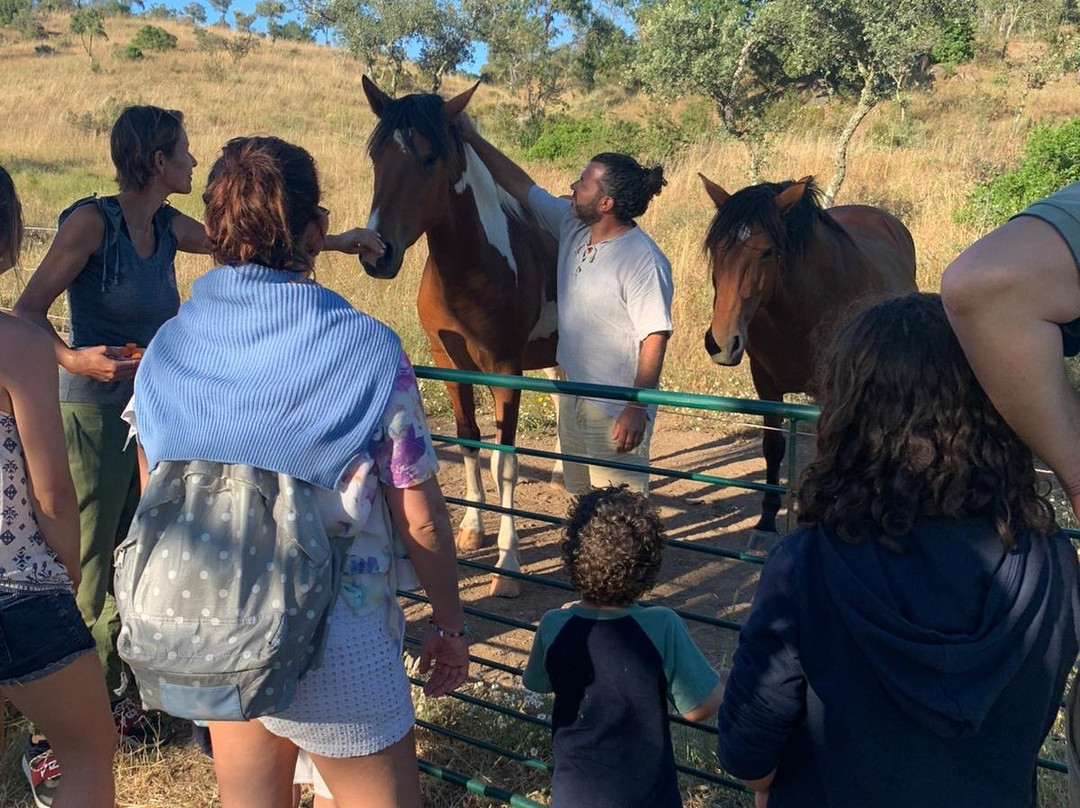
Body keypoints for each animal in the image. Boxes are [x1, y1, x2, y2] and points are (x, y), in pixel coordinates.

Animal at [365, 75, 565, 596]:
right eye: (376, 157)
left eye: (429, 158)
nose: (377, 253)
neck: (475, 269)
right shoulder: (450, 363)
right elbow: (469, 442)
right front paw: (473, 529)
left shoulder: (506, 368)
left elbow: (505, 462)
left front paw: (508, 565)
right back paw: (562, 473)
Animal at [699, 173, 920, 546]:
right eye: (717, 249)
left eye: (768, 251)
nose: (722, 342)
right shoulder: (766, 385)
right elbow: (773, 446)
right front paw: (766, 522)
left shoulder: (825, 391)